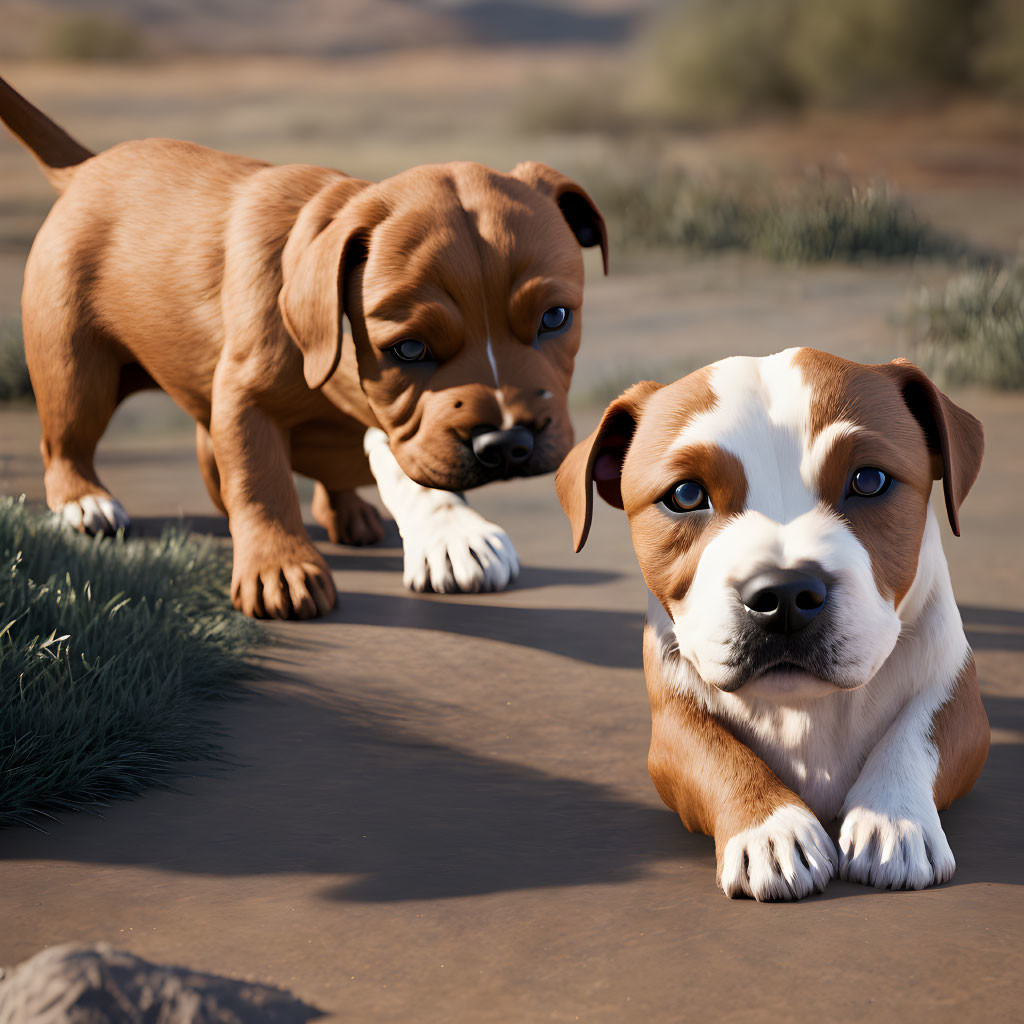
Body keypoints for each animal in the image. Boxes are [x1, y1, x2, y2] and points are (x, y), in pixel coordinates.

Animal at [2, 75, 606, 618]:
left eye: (556, 318)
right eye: (408, 349)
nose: (506, 443)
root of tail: (86, 168)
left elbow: (386, 459)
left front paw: (452, 533)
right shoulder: (247, 399)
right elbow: (260, 479)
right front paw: (280, 570)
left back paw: (351, 514)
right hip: (75, 365)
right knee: (69, 434)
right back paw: (85, 501)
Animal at [557, 348, 987, 901]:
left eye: (869, 481)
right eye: (686, 494)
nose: (784, 595)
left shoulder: (959, 698)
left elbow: (919, 732)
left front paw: (892, 819)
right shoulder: (670, 725)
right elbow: (713, 751)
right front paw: (770, 828)